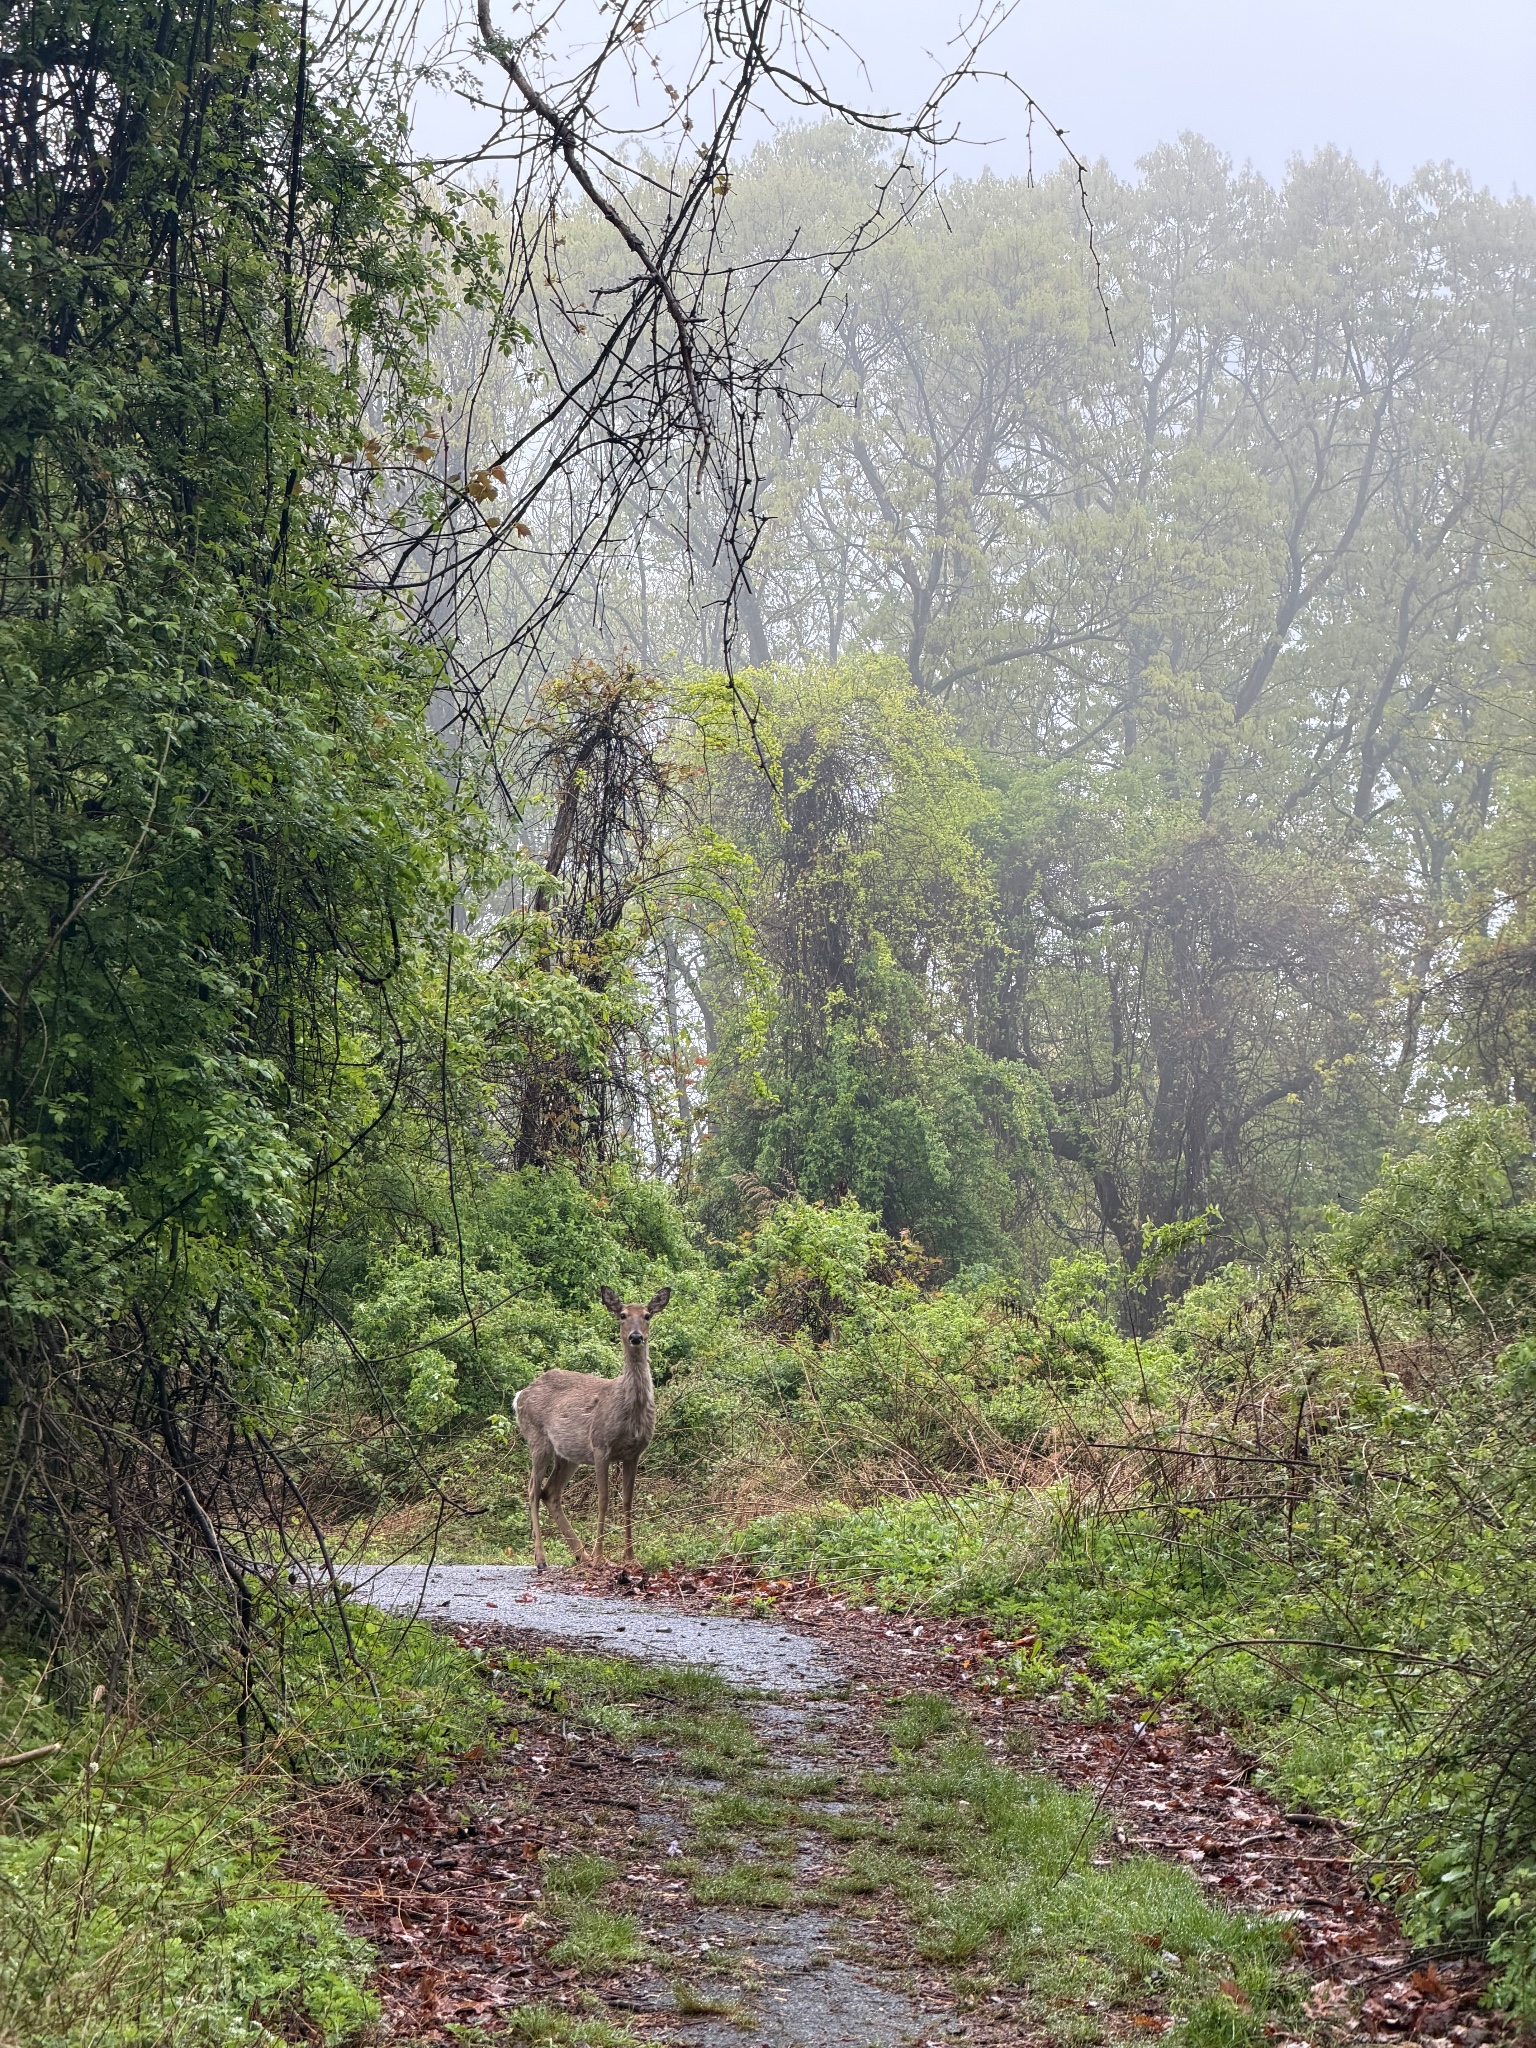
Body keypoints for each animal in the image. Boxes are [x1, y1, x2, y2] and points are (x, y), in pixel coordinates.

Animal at [512, 1286, 671, 1570]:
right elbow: (604, 1499)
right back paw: (542, 1558)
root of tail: (520, 1395)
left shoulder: (634, 1452)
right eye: (622, 1315)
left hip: (569, 1455)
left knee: (550, 1493)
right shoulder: (600, 1445)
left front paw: (630, 1558)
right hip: (537, 1439)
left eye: (647, 1315)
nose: (636, 1337)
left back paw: (580, 1555)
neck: (628, 1408)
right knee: (532, 1490)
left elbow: (628, 1500)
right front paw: (600, 1556)